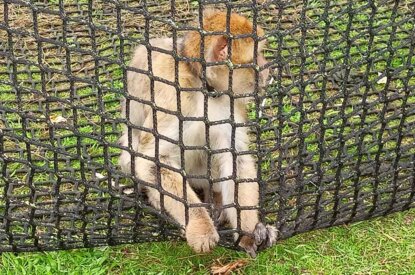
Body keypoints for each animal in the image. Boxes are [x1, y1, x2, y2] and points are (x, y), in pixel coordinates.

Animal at [118, 9, 278, 258]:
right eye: (258, 55)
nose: (267, 68)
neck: (204, 87)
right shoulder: (173, 99)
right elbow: (153, 162)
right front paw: (200, 226)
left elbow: (235, 159)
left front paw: (249, 231)